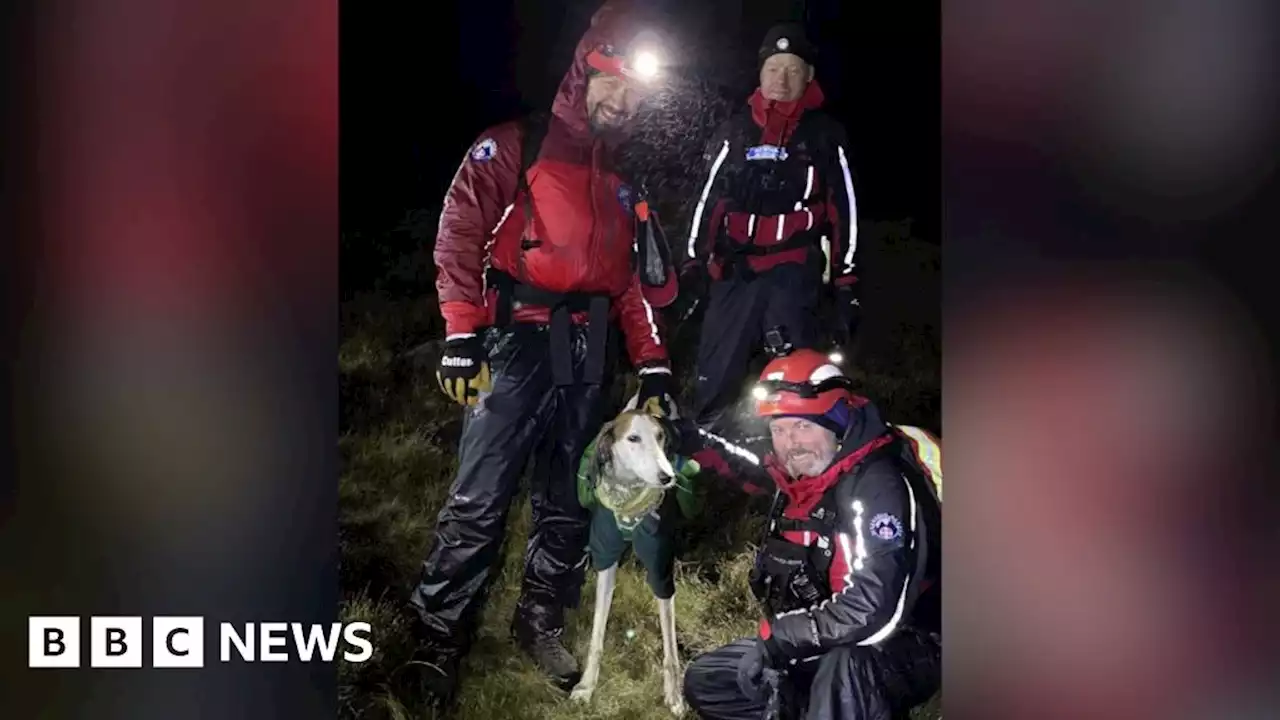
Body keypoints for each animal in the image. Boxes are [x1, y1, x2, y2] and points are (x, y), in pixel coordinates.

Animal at [570, 392, 696, 712]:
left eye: (660, 437)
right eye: (633, 438)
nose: (667, 477)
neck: (629, 502)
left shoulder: (661, 573)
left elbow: (670, 650)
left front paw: (674, 696)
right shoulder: (605, 561)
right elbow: (597, 636)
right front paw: (586, 686)